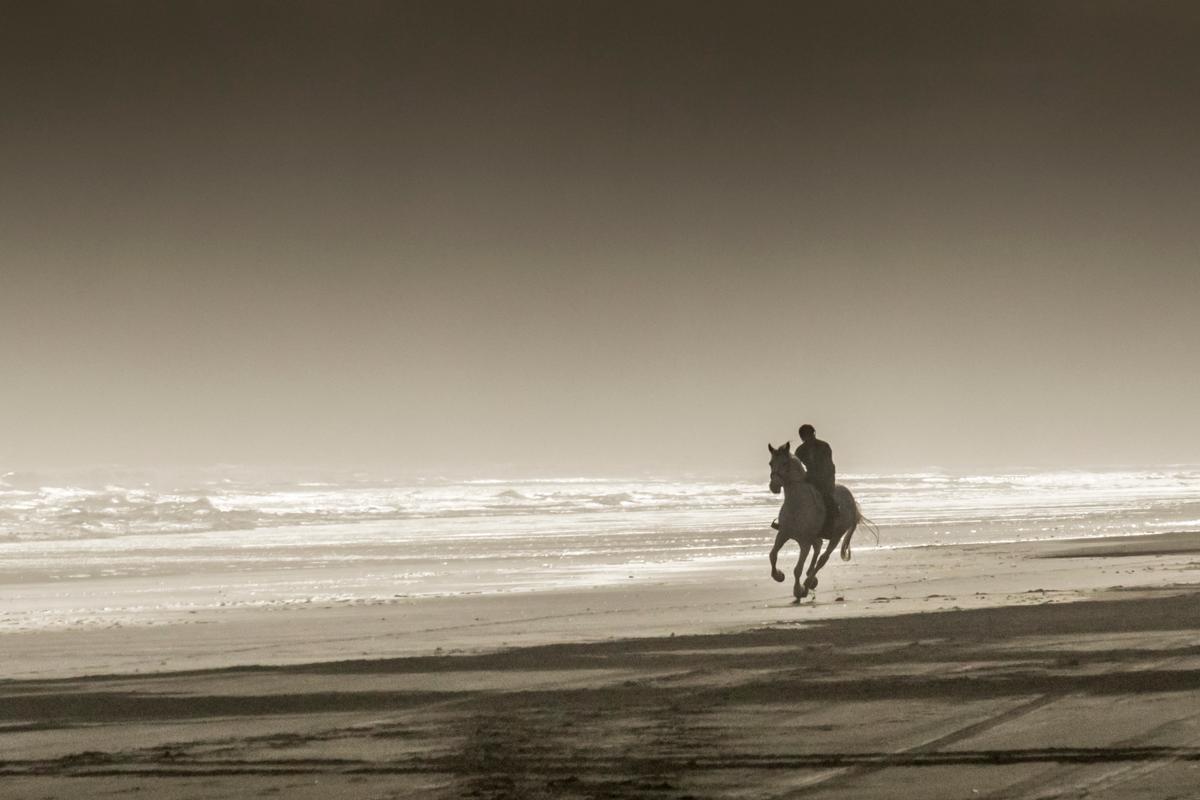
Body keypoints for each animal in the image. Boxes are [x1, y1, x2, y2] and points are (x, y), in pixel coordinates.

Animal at [768, 441, 864, 604]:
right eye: (771, 463)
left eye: (785, 463)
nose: (773, 486)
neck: (797, 504)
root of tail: (850, 498)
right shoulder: (783, 534)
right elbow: (772, 555)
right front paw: (779, 576)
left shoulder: (805, 542)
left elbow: (797, 569)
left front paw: (798, 591)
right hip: (815, 537)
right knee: (818, 546)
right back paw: (810, 580)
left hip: (836, 536)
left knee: (822, 559)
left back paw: (808, 583)